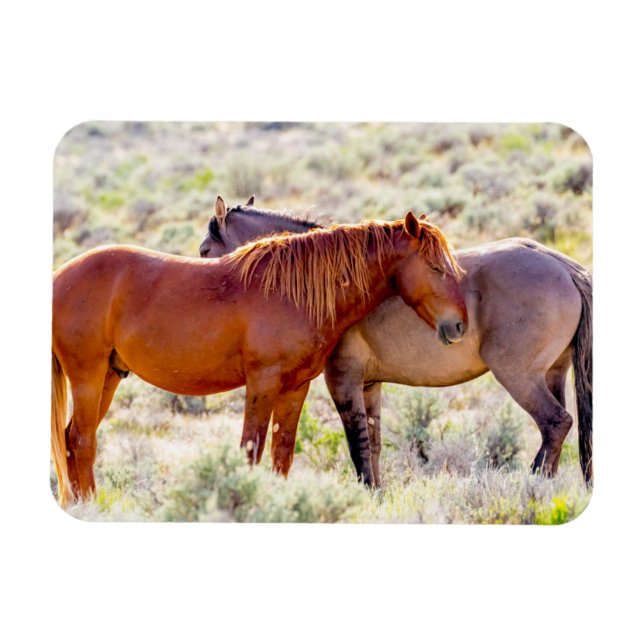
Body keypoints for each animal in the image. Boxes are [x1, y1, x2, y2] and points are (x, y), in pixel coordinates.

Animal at [52, 211, 467, 506]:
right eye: (435, 267)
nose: (459, 325)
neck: (294, 291)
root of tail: (60, 276)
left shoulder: (296, 387)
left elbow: (282, 452)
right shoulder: (263, 382)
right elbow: (251, 449)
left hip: (108, 376)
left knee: (72, 439)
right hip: (87, 376)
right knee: (82, 440)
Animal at [199, 198, 592, 486]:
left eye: (204, 251)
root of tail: (564, 267)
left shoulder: (343, 380)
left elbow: (357, 447)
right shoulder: (370, 385)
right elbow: (373, 447)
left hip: (518, 376)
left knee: (555, 424)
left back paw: (532, 484)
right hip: (553, 374)